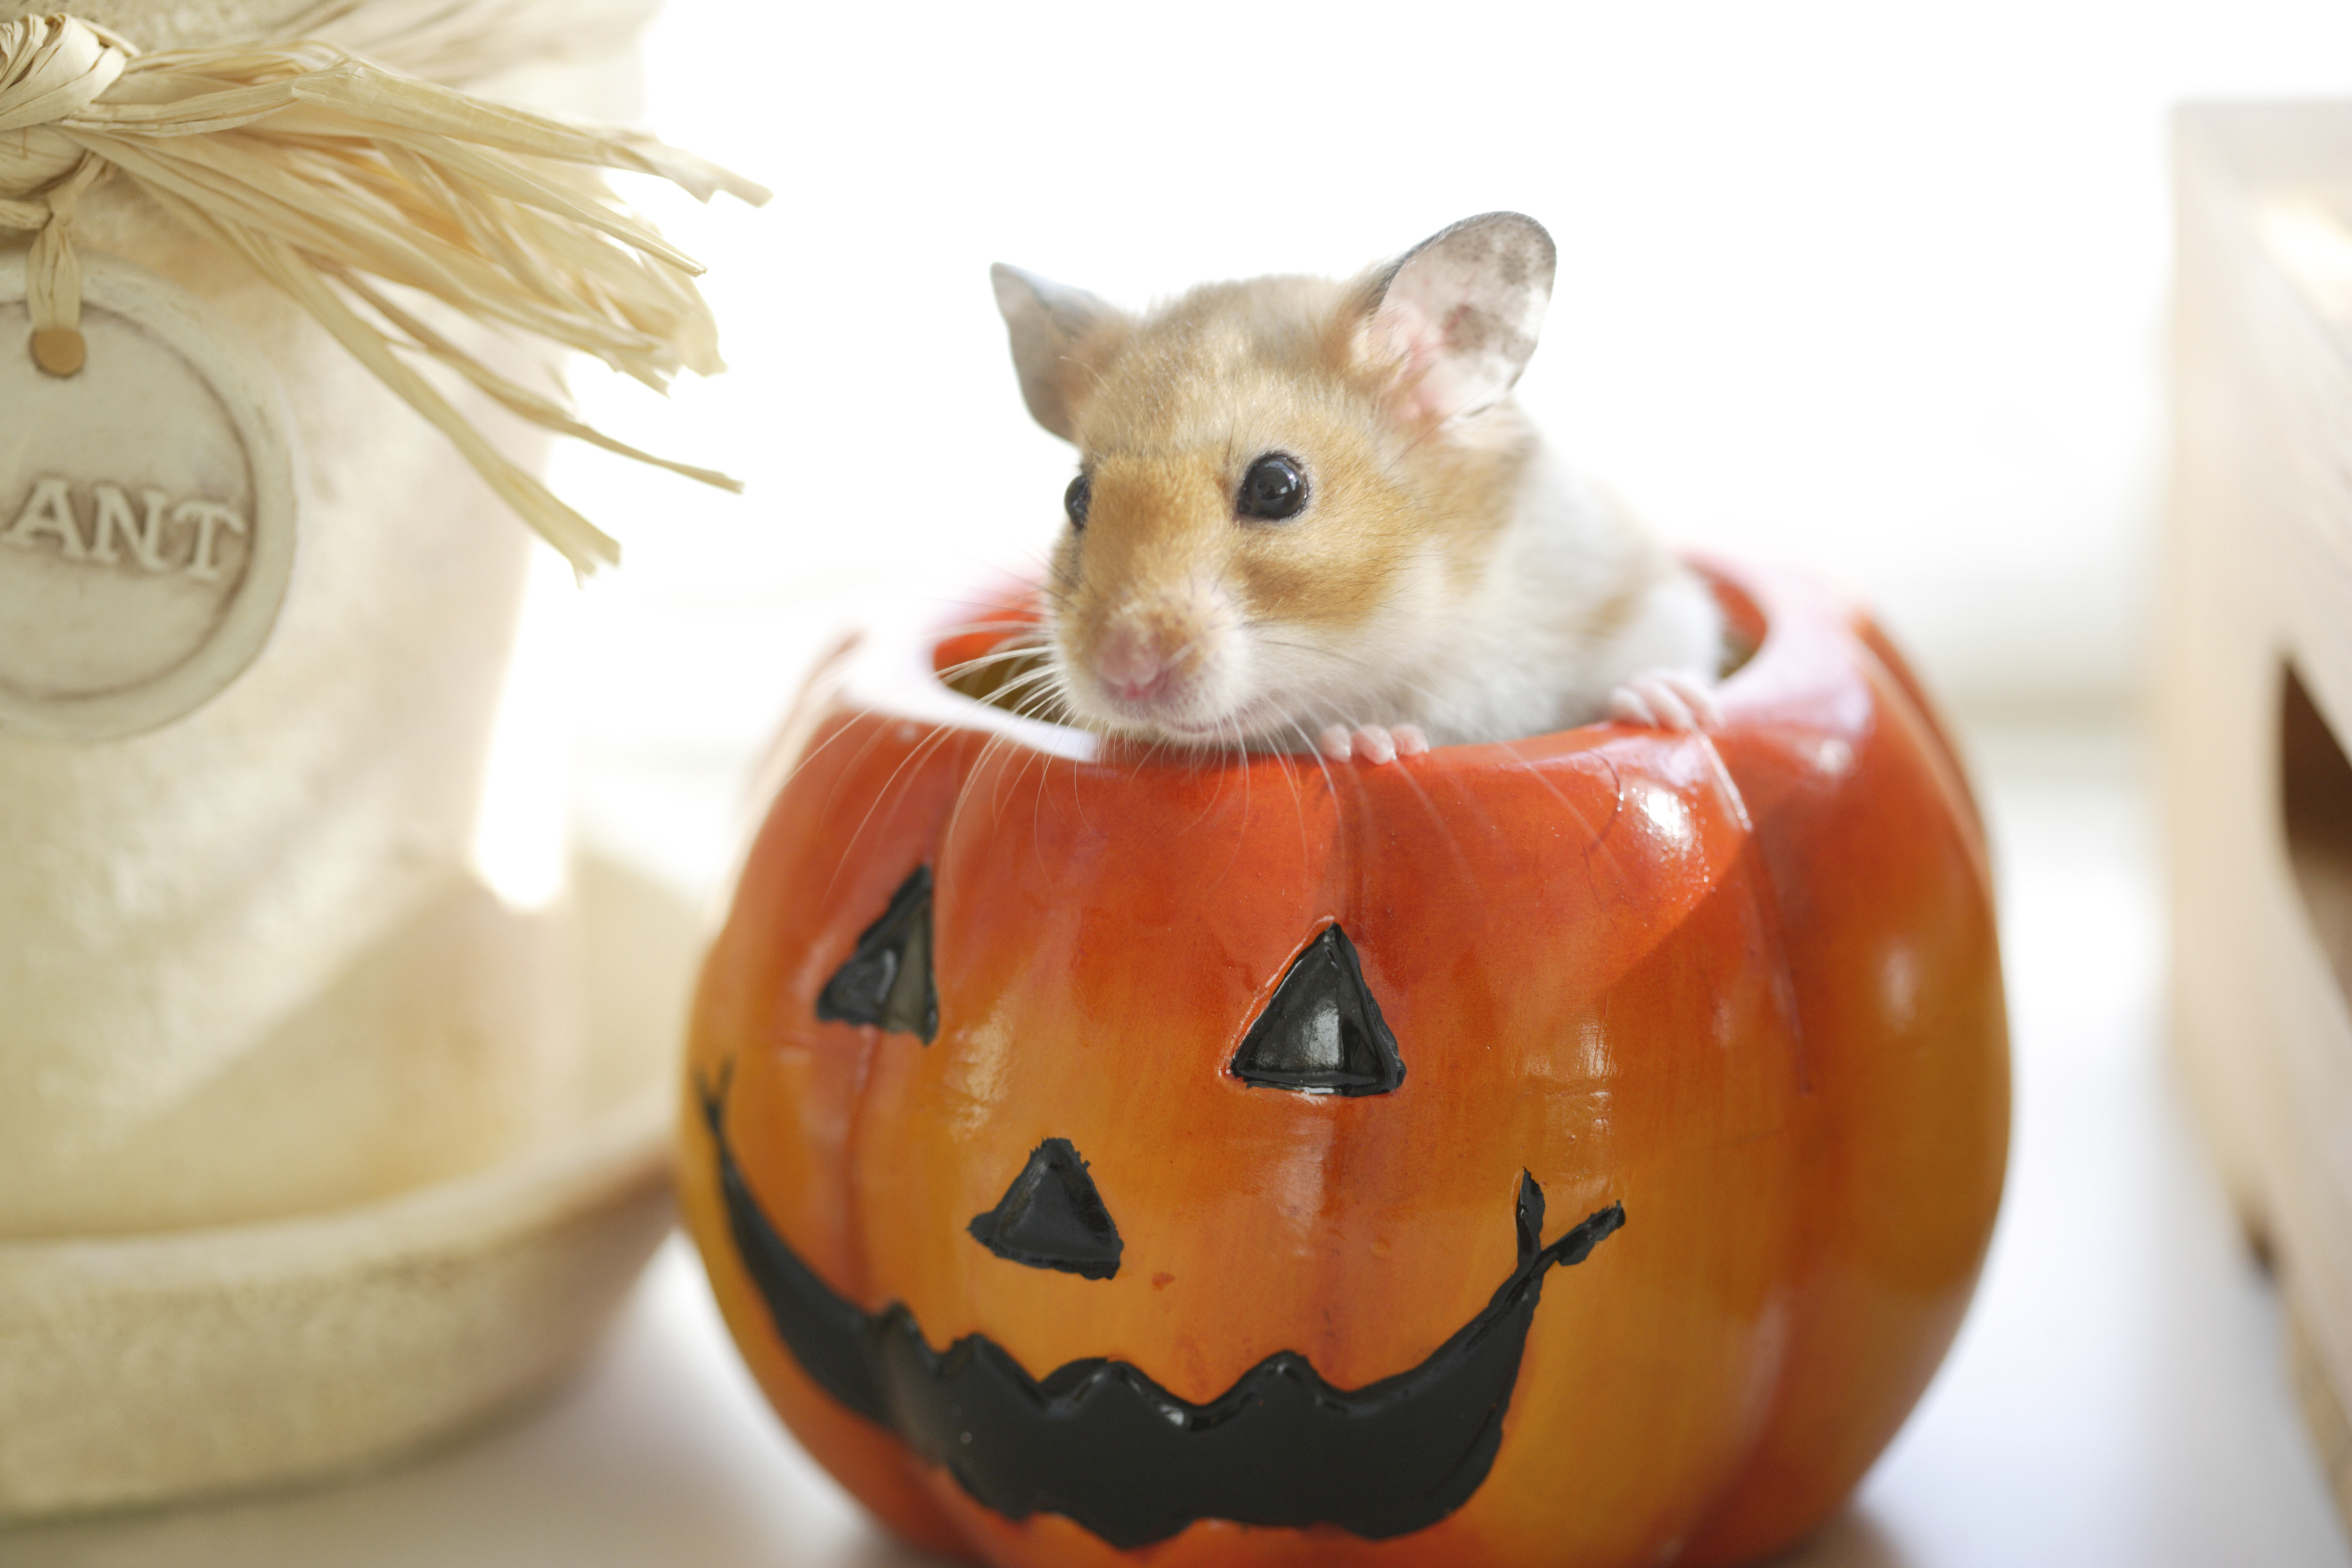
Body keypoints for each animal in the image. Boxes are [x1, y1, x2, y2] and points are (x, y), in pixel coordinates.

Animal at [983, 212, 1722, 766]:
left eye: (1277, 488)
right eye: (1077, 498)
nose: (1123, 673)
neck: (1434, 617)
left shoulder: (1640, 594)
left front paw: (1669, 705)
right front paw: (1370, 743)